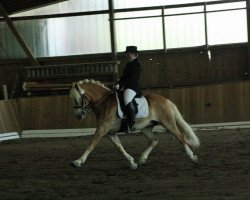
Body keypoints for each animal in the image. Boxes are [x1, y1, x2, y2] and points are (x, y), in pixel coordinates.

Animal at [69, 79, 200, 170]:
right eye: (73, 100)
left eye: (78, 99)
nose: (78, 116)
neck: (104, 103)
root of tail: (165, 100)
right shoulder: (110, 133)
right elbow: (119, 148)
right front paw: (132, 163)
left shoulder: (102, 129)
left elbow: (91, 144)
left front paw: (78, 161)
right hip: (146, 128)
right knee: (154, 141)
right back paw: (142, 159)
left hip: (168, 123)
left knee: (180, 137)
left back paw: (193, 157)